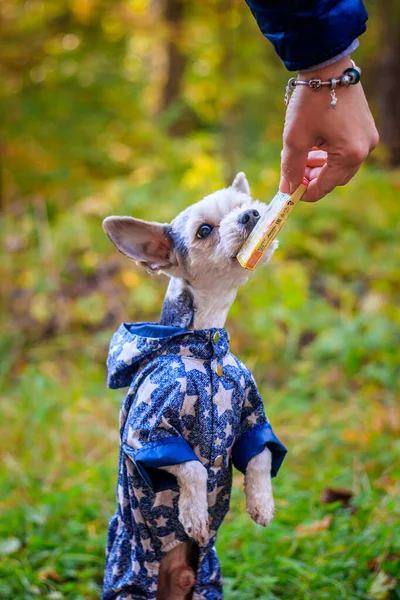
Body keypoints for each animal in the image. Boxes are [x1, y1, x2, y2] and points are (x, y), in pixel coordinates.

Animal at [101, 172, 286, 600]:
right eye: (204, 230)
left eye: (245, 205)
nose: (252, 215)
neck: (205, 348)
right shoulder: (147, 434)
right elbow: (194, 467)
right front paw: (194, 513)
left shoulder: (251, 417)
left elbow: (260, 456)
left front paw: (262, 502)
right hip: (131, 578)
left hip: (207, 580)